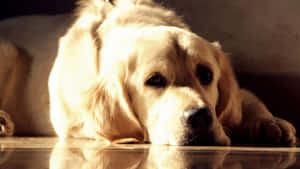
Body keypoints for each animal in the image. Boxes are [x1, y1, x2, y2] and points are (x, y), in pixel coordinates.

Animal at [0, 0, 296, 146]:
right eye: (154, 80)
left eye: (206, 75)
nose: (200, 117)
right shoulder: (72, 122)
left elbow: (247, 100)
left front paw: (269, 123)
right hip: (8, 50)